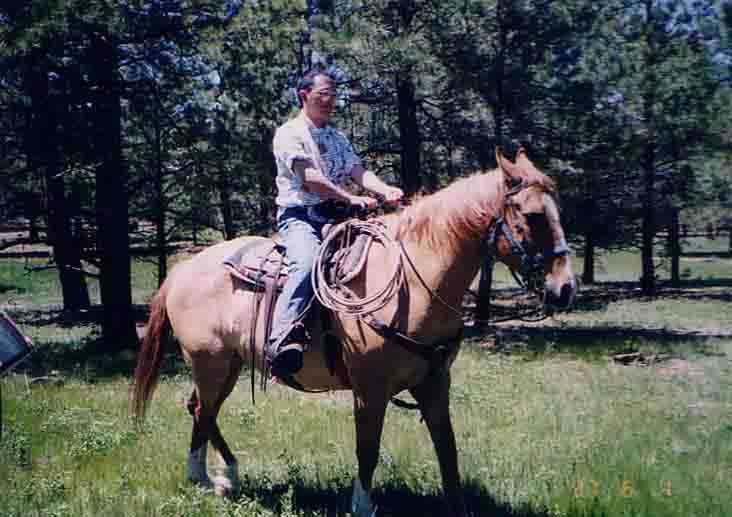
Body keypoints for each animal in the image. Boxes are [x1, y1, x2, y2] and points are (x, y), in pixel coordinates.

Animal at [131, 147, 577, 517]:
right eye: (533, 216)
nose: (565, 288)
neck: (414, 280)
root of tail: (182, 271)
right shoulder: (369, 388)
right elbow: (368, 449)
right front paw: (362, 506)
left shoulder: (435, 382)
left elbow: (447, 452)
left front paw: (459, 509)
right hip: (209, 361)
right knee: (204, 410)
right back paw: (209, 478)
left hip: (229, 363)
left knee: (200, 409)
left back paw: (220, 475)